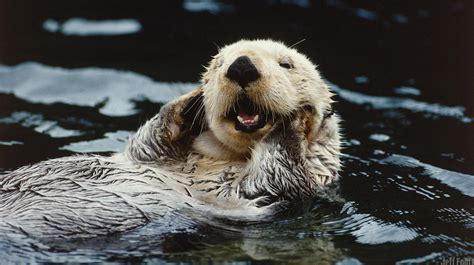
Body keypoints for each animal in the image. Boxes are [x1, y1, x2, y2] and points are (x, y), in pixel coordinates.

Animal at [0, 40, 340, 238]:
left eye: (287, 64)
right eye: (219, 63)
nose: (241, 65)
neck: (221, 160)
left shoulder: (264, 195)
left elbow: (277, 173)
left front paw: (296, 120)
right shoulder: (146, 155)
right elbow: (148, 140)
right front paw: (189, 104)